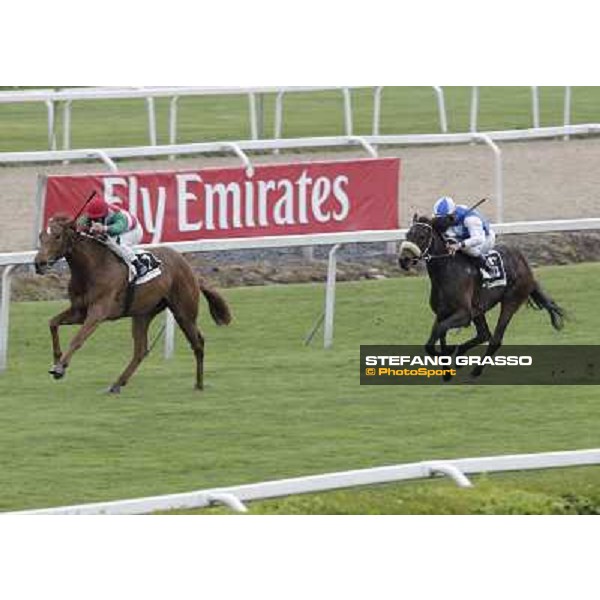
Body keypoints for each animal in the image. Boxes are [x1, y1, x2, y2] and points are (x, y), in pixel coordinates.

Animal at [34, 216, 232, 394]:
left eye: (57, 236)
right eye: (41, 236)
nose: (39, 263)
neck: (91, 268)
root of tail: (191, 270)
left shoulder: (98, 312)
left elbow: (78, 339)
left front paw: (60, 368)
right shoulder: (79, 311)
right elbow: (52, 323)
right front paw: (57, 359)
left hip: (184, 312)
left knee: (198, 343)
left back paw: (199, 384)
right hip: (142, 314)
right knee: (140, 350)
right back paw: (116, 384)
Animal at [398, 213, 564, 378]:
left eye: (422, 236)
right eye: (407, 234)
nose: (403, 260)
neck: (446, 270)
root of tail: (525, 265)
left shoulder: (464, 314)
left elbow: (440, 330)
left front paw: (449, 352)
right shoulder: (442, 313)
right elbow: (436, 335)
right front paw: (447, 370)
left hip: (511, 301)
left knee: (495, 339)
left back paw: (476, 370)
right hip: (478, 309)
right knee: (484, 334)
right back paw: (461, 356)